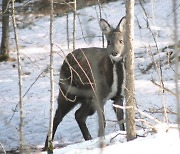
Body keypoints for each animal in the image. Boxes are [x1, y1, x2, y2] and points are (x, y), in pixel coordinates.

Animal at [44, 16, 126, 150]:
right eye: (108, 42)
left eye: (121, 41)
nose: (114, 53)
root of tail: (65, 60)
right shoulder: (98, 95)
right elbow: (103, 122)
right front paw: (101, 142)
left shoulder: (119, 96)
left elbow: (122, 121)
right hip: (68, 91)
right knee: (57, 116)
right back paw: (47, 147)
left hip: (87, 99)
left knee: (79, 115)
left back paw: (88, 139)